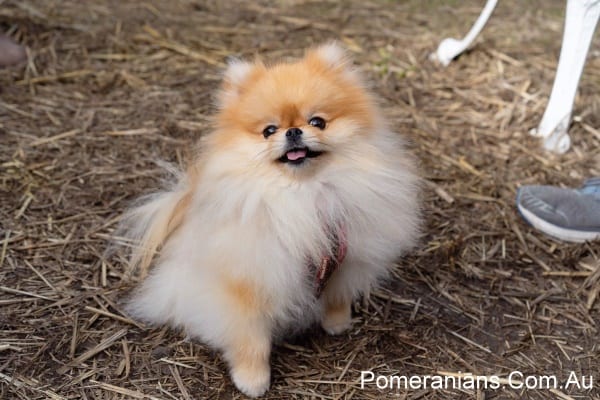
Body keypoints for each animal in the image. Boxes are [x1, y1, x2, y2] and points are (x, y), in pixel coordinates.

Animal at [121, 42, 420, 396]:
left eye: (318, 122)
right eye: (269, 131)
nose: (294, 131)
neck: (304, 195)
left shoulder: (343, 257)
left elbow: (337, 295)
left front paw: (337, 322)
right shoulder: (248, 282)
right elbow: (251, 340)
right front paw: (252, 380)